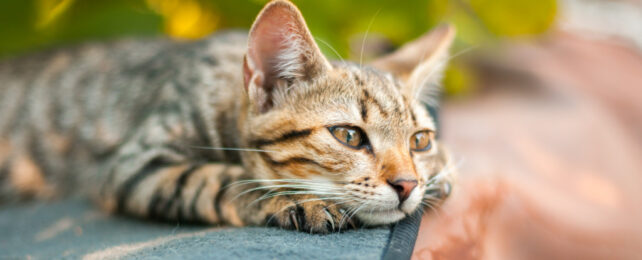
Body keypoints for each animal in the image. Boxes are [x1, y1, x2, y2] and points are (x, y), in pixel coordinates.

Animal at [0, 0, 452, 234]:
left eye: (420, 141)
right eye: (349, 136)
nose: (408, 184)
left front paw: (440, 174)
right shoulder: (136, 162)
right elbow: (218, 177)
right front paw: (296, 198)